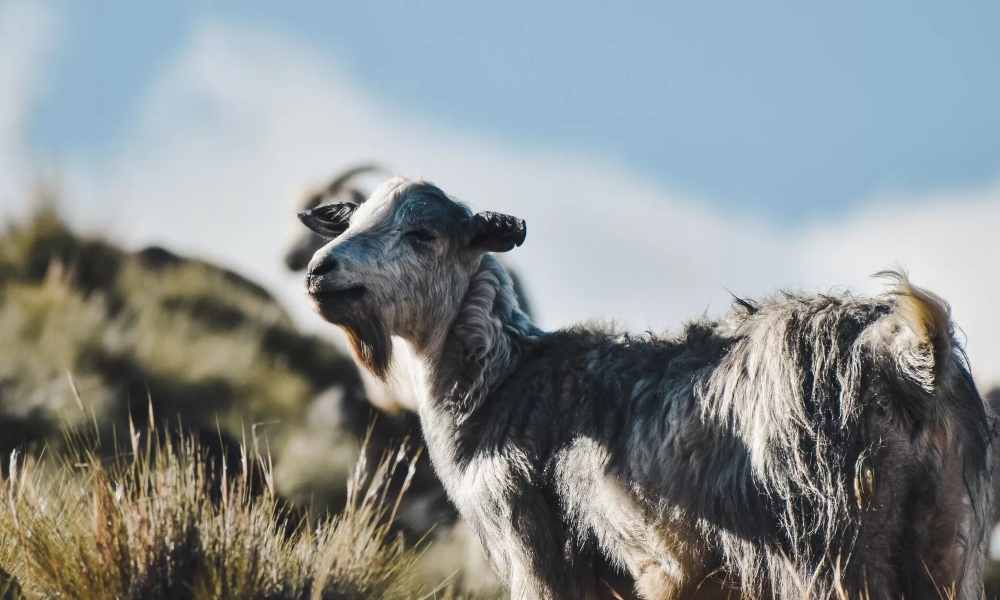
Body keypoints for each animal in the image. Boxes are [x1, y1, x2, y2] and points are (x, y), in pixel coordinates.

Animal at [294, 176, 992, 596]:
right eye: (348, 222)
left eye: (424, 234)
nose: (321, 271)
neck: (498, 382)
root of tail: (908, 354)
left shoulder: (535, 554)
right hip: (941, 544)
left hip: (831, 548)